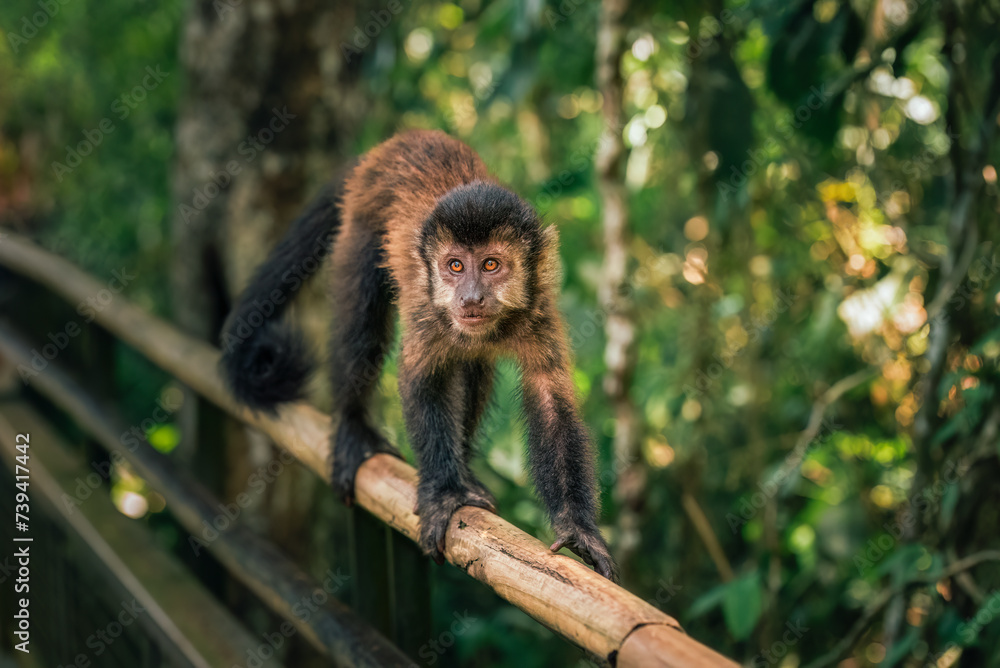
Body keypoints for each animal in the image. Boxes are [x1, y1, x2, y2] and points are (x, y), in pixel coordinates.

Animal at [221, 129, 616, 580]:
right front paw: (445, 495)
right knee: (362, 325)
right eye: (456, 266)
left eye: (491, 265)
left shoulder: (540, 310)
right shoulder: (429, 310)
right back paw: (353, 429)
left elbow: (549, 397)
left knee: (474, 367)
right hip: (359, 227)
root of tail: (394, 144)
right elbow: (422, 378)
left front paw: (578, 530)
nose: (470, 298)